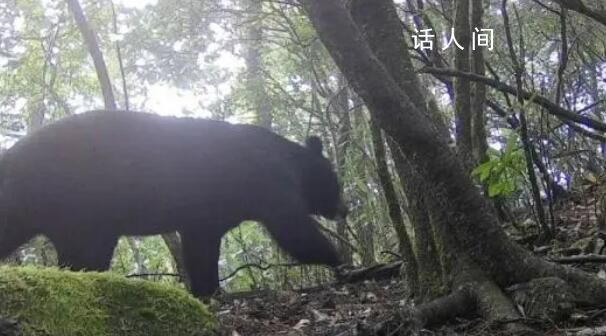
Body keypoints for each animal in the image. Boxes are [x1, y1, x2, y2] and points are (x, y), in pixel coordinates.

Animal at [0, 109, 344, 296]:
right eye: (337, 184)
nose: (344, 208)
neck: (293, 163)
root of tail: (12, 156)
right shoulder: (268, 181)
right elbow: (293, 229)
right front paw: (338, 259)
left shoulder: (208, 216)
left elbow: (201, 248)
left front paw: (208, 289)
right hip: (76, 202)